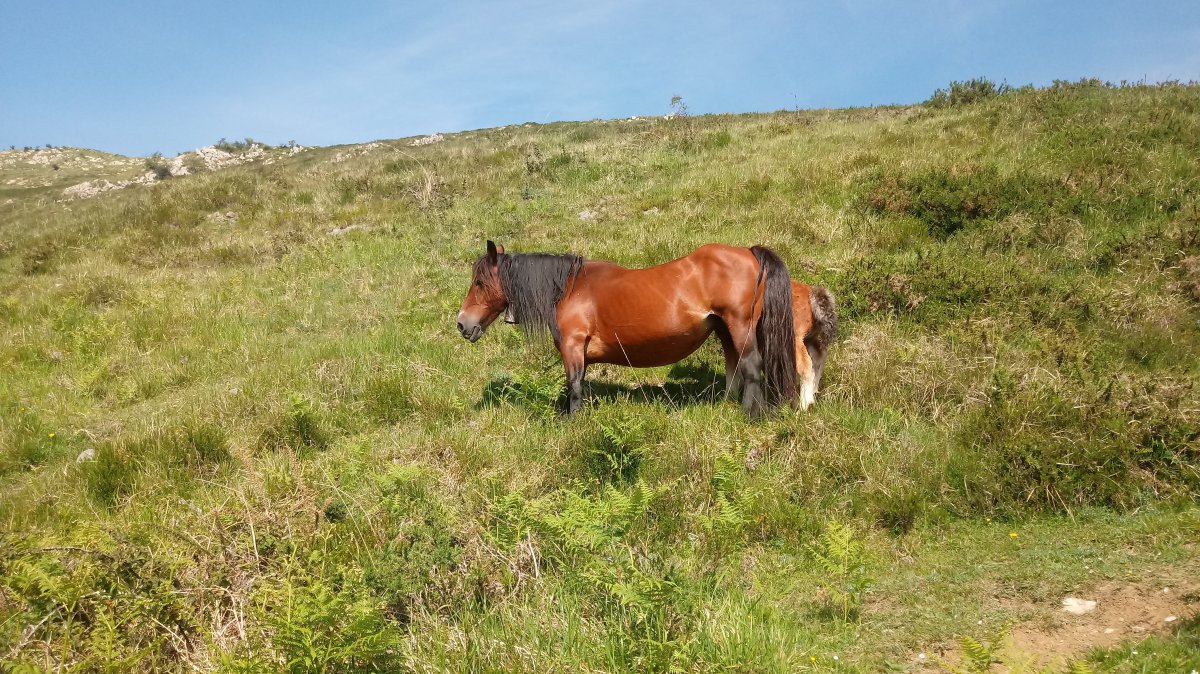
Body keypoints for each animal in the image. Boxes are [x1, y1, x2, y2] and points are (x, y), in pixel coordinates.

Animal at [453, 238, 840, 412]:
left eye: (479, 282)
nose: (462, 324)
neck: (568, 289)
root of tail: (748, 252)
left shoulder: (573, 347)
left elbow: (575, 387)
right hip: (724, 330)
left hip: (741, 326)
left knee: (752, 368)